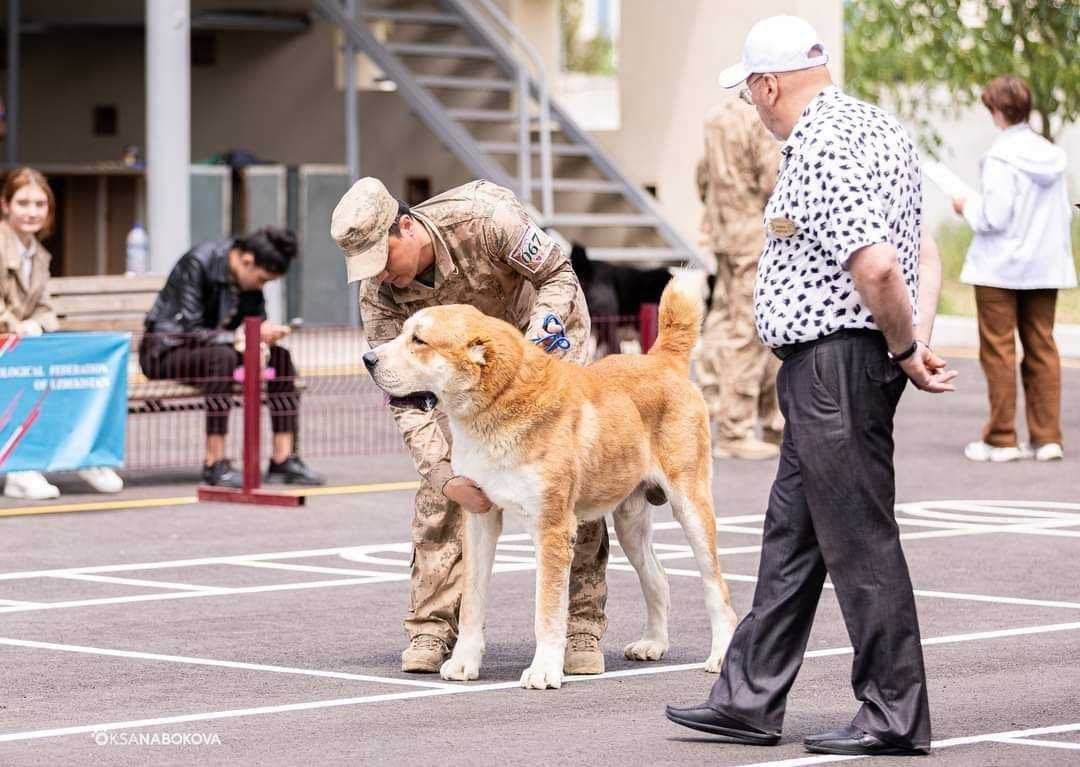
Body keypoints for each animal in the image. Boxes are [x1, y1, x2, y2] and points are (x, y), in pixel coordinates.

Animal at [367, 276, 738, 691]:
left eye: (419, 340)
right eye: (403, 333)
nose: (367, 359)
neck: (497, 402)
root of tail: (661, 359)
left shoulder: (553, 529)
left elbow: (547, 609)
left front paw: (544, 669)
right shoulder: (479, 518)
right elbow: (472, 602)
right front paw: (464, 662)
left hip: (691, 507)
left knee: (716, 588)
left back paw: (720, 655)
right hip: (630, 523)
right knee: (657, 579)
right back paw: (653, 644)